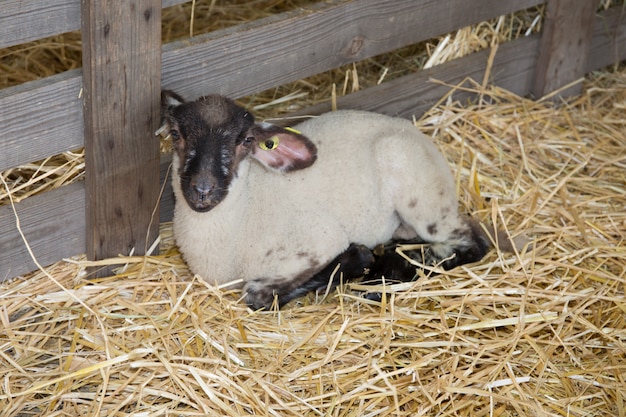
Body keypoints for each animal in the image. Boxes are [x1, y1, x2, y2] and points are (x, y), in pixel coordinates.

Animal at [157, 91, 520, 308]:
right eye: (176, 134)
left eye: (245, 141)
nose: (202, 190)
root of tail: (420, 136)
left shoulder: (317, 241)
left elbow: (259, 295)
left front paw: (355, 260)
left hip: (424, 198)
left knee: (472, 241)